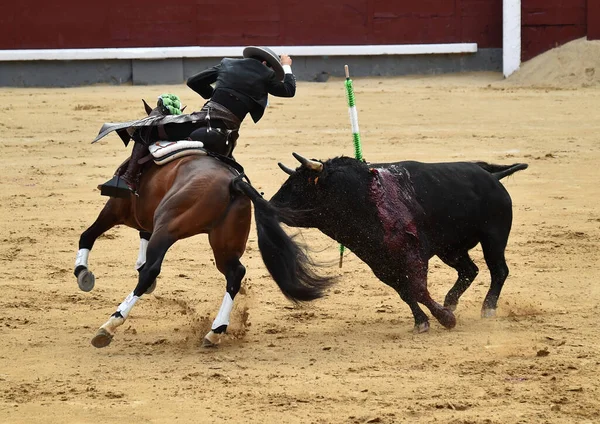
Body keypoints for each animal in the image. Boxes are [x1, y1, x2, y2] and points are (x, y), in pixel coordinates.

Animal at [74, 102, 332, 348]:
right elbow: (139, 239)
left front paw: (83, 273)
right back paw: (215, 331)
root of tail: (234, 183)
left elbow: (88, 235)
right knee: (235, 273)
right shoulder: (145, 220)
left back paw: (110, 325)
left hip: (168, 228)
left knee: (151, 270)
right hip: (224, 243)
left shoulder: (115, 210)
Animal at [270, 154, 528, 332]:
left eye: (296, 186)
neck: (360, 196)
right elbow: (405, 292)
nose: (270, 206)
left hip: (493, 238)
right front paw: (423, 321)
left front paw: (445, 319)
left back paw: (488, 308)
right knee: (469, 270)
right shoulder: (379, 262)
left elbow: (417, 288)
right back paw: (451, 302)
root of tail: (492, 177)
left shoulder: (413, 255)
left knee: (499, 270)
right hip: (450, 249)